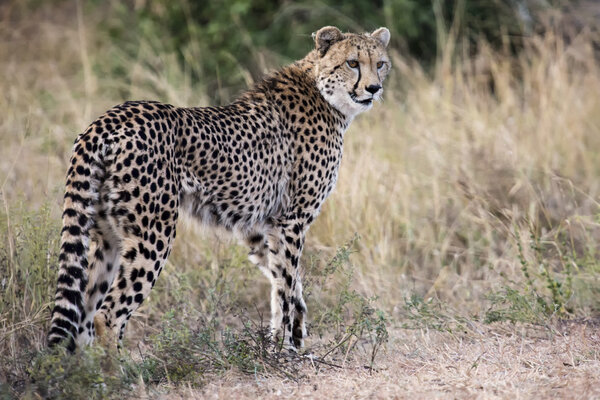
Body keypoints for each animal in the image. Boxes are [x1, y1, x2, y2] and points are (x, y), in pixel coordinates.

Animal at [48, 25, 394, 352]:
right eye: (352, 63)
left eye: (380, 64)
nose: (374, 88)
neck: (324, 92)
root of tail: (107, 119)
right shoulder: (291, 220)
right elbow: (285, 284)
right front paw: (286, 348)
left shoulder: (259, 225)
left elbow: (286, 282)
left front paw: (290, 337)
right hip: (153, 234)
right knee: (107, 315)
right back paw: (124, 370)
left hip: (106, 236)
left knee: (83, 313)